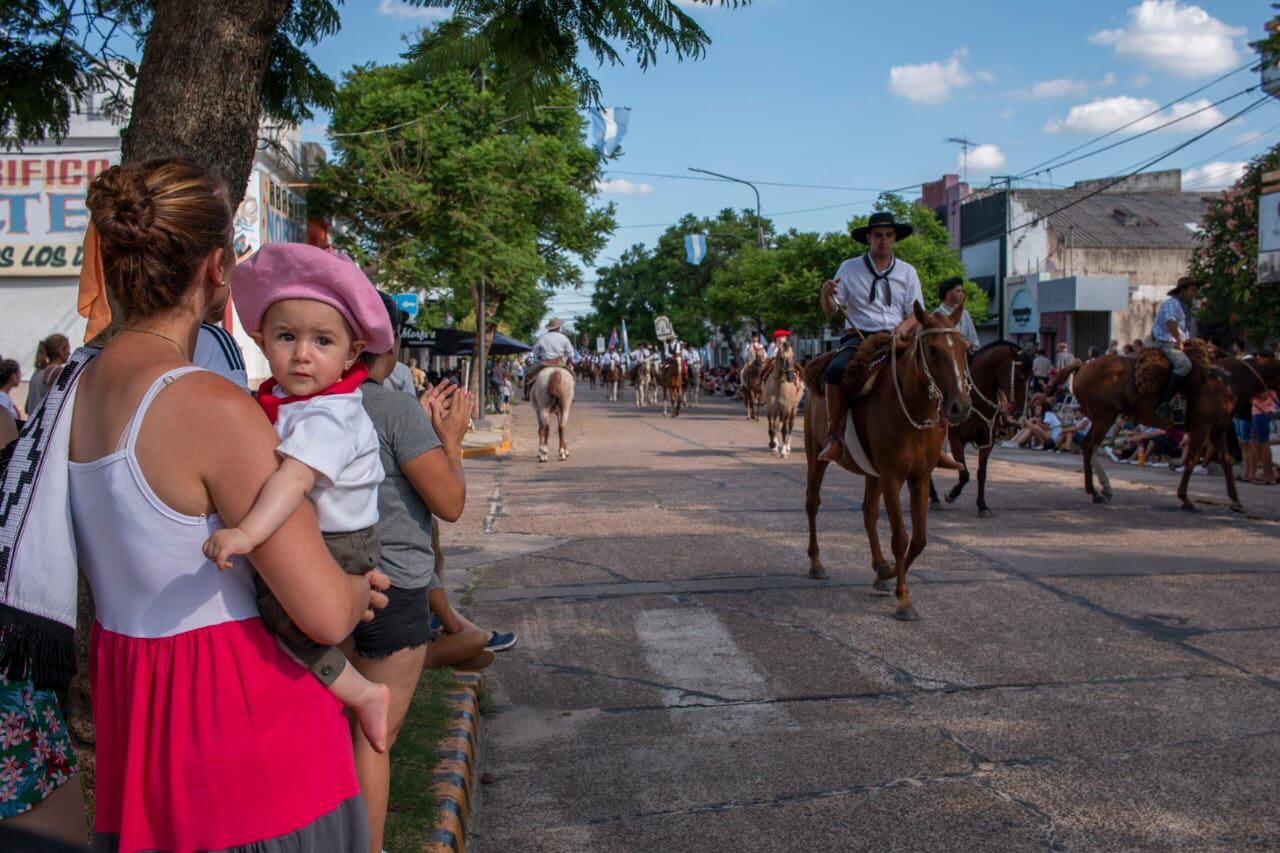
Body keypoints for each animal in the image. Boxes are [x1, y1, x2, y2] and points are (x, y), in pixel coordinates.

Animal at [798, 303, 967, 617]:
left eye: (965, 348)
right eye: (933, 349)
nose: (960, 406)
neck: (910, 409)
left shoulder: (919, 478)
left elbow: (919, 539)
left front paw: (888, 572)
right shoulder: (892, 476)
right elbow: (900, 537)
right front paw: (904, 599)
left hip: (872, 472)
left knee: (868, 512)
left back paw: (879, 566)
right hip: (816, 457)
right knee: (812, 502)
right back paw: (816, 563)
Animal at [926, 340, 1034, 514]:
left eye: (1031, 378)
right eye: (1020, 377)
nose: (1019, 412)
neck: (975, 399)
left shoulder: (987, 441)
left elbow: (981, 473)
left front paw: (982, 505)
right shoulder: (956, 440)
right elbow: (964, 474)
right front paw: (951, 495)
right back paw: (935, 498)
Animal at [1049, 343, 1239, 507]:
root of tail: (1083, 367)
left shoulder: (1216, 429)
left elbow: (1225, 459)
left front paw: (1236, 502)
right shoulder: (1204, 427)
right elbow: (1195, 459)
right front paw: (1186, 499)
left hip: (1101, 419)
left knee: (1089, 447)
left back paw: (1102, 490)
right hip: (1104, 418)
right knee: (1089, 446)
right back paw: (1097, 491)